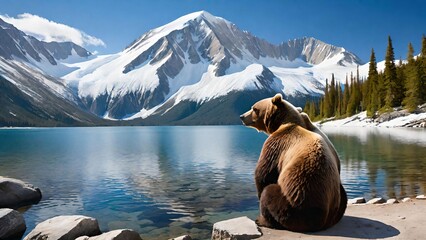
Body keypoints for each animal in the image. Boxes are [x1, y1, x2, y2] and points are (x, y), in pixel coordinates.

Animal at [240, 93, 346, 232]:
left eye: (254, 108)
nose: (242, 116)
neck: (283, 123)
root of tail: (322, 220)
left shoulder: (277, 145)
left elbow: (263, 174)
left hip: (292, 205)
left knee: (269, 193)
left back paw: (264, 221)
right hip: (336, 199)